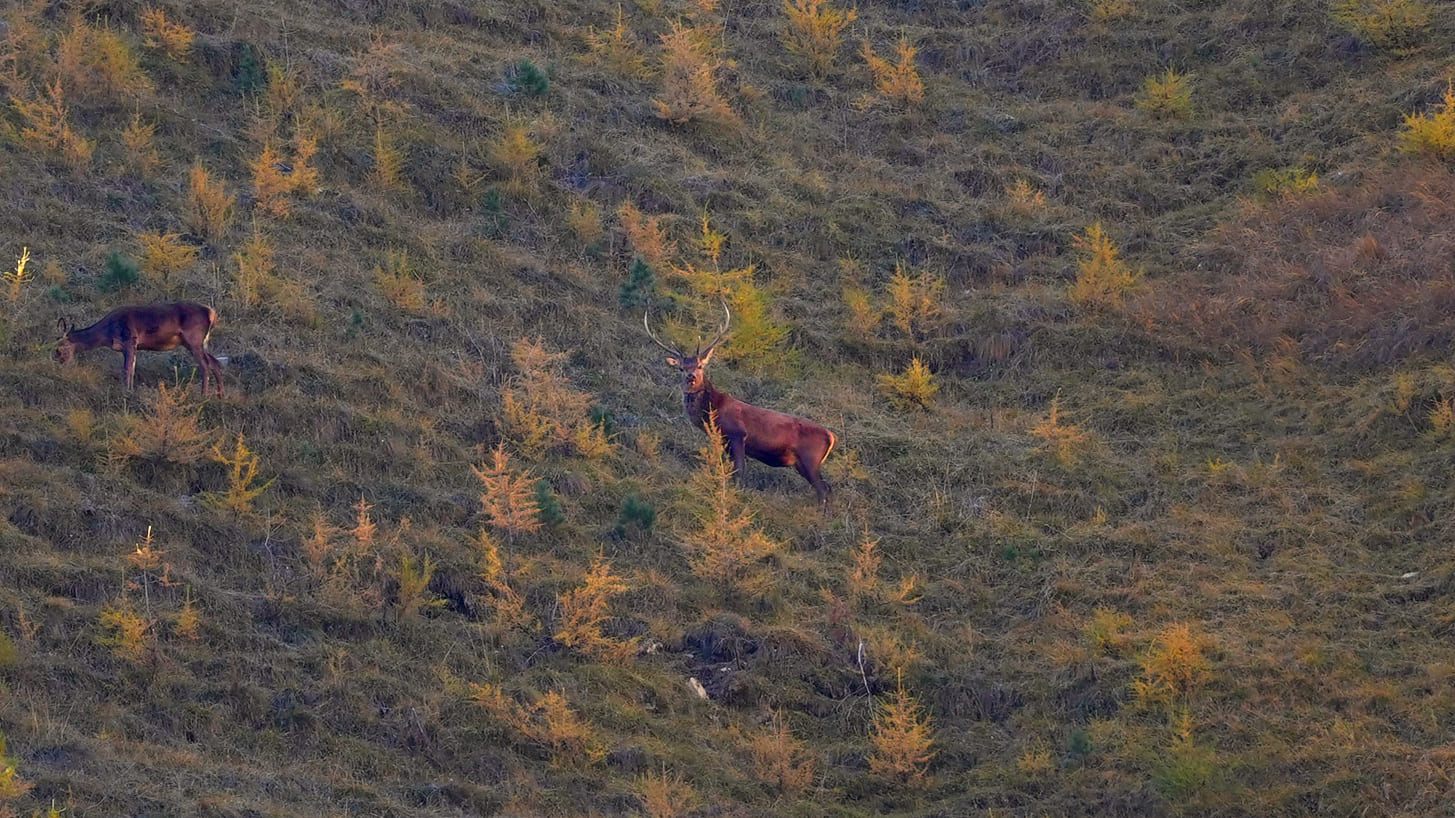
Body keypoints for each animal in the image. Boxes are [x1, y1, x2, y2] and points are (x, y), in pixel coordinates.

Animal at [54, 301, 225, 396]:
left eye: (59, 348)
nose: (60, 362)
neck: (107, 334)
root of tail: (212, 314)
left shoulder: (130, 339)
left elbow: (127, 369)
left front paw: (127, 392)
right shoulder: (131, 347)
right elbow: (132, 368)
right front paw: (129, 390)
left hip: (193, 339)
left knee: (205, 365)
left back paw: (204, 394)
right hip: (199, 342)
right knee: (215, 362)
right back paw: (219, 396)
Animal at [645, 300, 837, 507]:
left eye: (700, 365)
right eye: (681, 368)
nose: (691, 377)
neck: (713, 412)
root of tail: (831, 436)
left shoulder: (736, 434)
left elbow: (740, 472)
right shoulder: (724, 441)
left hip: (810, 459)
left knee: (823, 489)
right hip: (803, 464)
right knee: (827, 488)